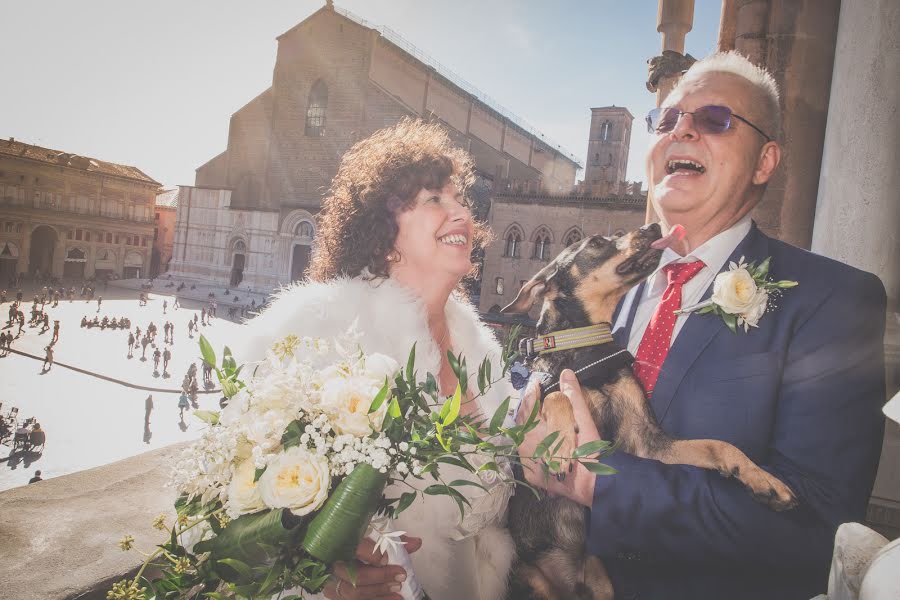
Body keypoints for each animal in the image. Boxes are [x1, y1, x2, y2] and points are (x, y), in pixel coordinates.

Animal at [502, 224, 800, 600]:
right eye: (596, 242)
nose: (653, 227)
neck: (587, 349)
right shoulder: (532, 402)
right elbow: (556, 396)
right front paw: (558, 445)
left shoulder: (647, 442)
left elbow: (718, 445)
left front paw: (763, 478)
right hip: (531, 580)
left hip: (601, 583)